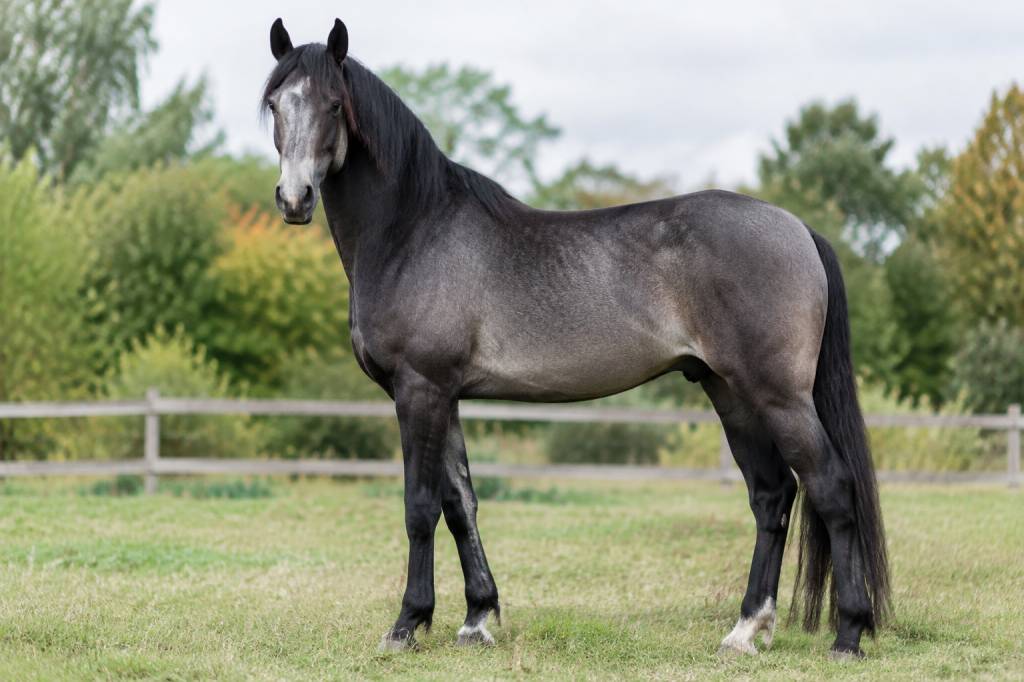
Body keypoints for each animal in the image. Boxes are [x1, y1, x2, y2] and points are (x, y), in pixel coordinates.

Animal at [260, 18, 891, 658]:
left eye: (334, 104)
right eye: (275, 105)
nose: (295, 199)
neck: (414, 231)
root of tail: (798, 228)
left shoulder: (420, 391)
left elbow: (420, 508)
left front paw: (407, 624)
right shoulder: (445, 396)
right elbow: (460, 503)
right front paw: (476, 618)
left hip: (779, 396)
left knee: (830, 487)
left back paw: (848, 633)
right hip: (730, 393)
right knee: (772, 495)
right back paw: (744, 629)